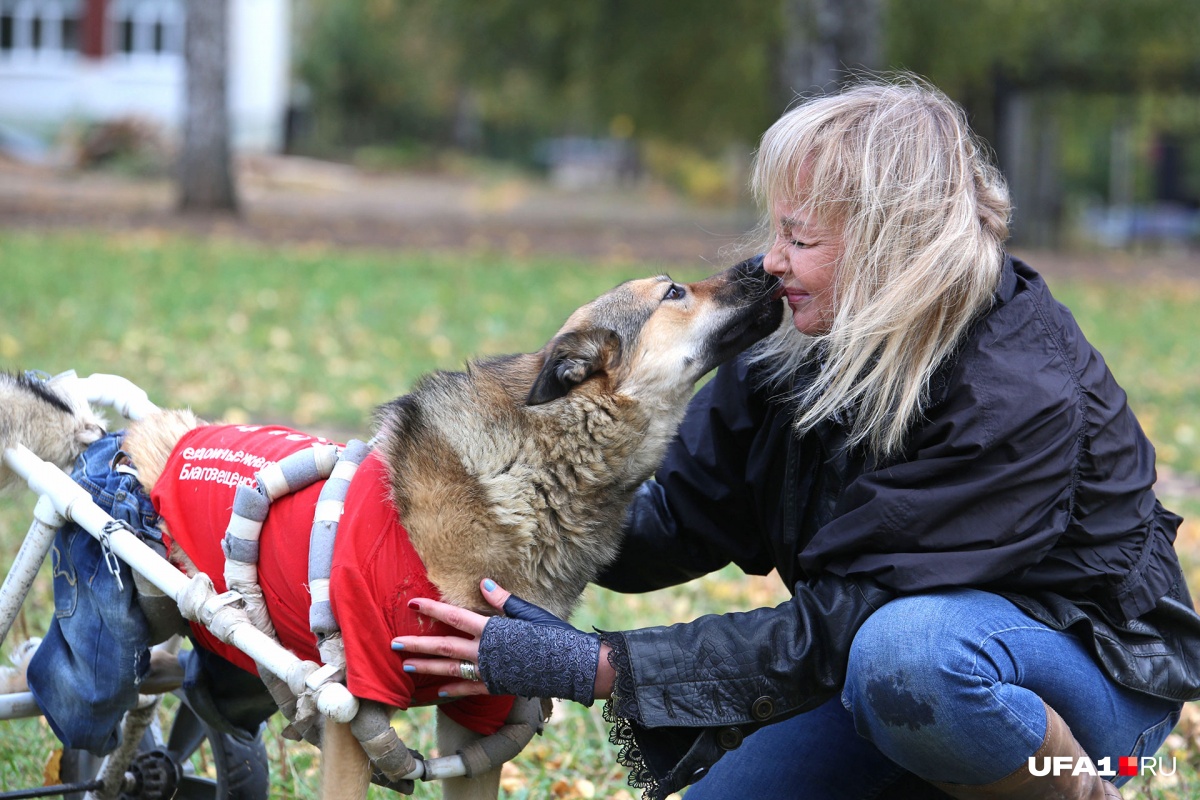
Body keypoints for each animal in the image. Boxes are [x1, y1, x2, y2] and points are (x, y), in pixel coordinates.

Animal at [4, 261, 787, 800]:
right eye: (675, 292)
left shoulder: (479, 717)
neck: (531, 466)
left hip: (215, 657)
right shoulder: (354, 715)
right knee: (62, 682)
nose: (765, 267)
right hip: (117, 629)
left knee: (174, 694)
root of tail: (116, 436)